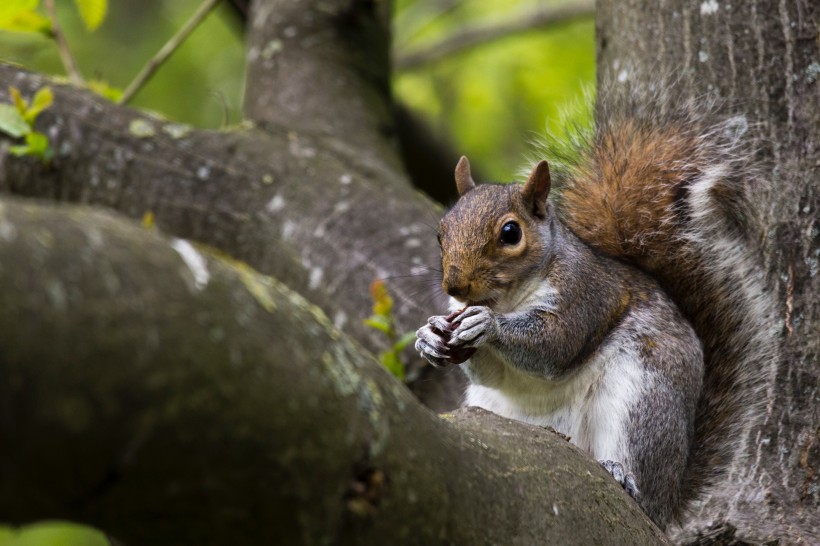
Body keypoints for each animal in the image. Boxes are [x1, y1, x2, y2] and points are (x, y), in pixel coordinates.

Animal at [416, 86, 776, 528]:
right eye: (441, 232)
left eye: (511, 233)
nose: (455, 284)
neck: (509, 298)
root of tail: (669, 506)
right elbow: (490, 373)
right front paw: (429, 335)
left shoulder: (584, 295)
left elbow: (556, 345)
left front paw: (488, 325)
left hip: (644, 397)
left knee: (640, 474)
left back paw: (624, 478)